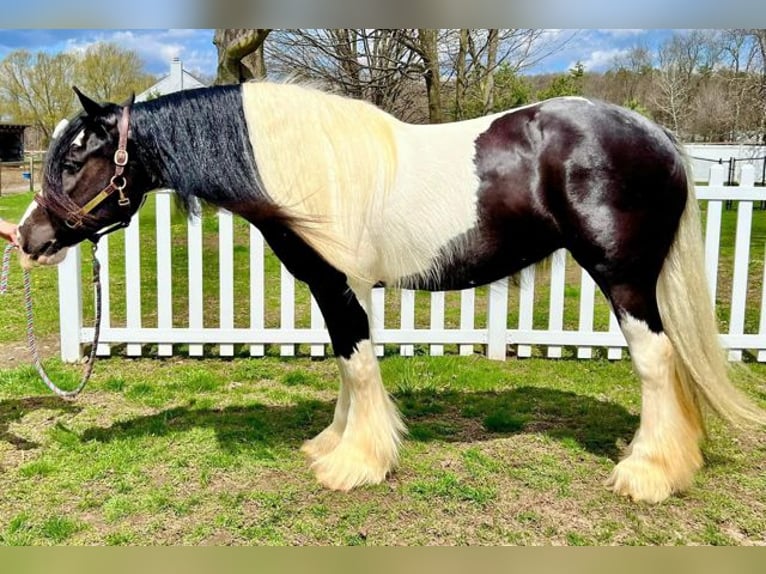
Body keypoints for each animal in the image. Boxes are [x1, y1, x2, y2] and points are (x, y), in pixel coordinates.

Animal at [16, 81, 765, 503]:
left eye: (78, 156)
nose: (26, 236)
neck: (297, 166)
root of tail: (656, 135)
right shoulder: (333, 288)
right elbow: (349, 366)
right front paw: (334, 444)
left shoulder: (340, 285)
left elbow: (358, 364)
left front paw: (357, 464)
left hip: (625, 279)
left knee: (656, 363)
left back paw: (650, 474)